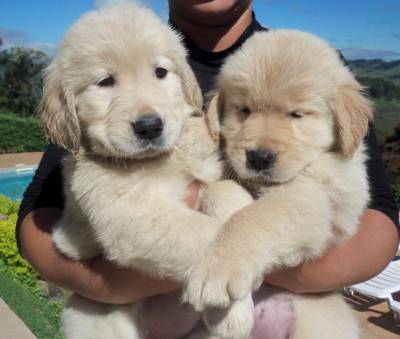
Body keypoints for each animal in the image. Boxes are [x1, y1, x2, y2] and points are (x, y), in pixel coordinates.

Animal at [37, 3, 252, 339]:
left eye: (160, 72)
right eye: (105, 81)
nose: (150, 127)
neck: (153, 161)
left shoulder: (204, 174)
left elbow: (225, 191)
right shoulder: (131, 215)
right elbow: (204, 232)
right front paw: (234, 304)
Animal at [184, 29, 372, 339]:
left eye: (297, 114)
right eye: (244, 110)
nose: (259, 158)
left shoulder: (313, 200)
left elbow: (254, 219)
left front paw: (217, 269)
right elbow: (222, 189)